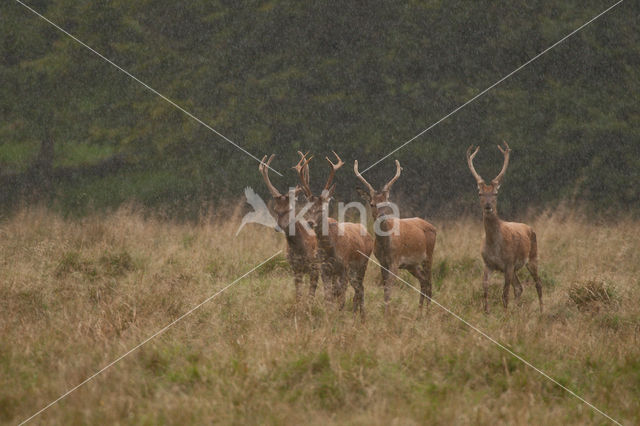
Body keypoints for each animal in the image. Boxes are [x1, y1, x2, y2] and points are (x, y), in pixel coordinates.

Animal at [260, 153, 320, 300]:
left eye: (290, 209)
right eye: (276, 209)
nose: (277, 228)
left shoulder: (314, 266)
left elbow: (311, 295)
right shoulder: (295, 268)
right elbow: (298, 296)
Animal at [296, 151, 376, 318]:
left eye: (321, 209)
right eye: (307, 208)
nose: (310, 222)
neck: (331, 248)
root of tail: (368, 233)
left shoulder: (344, 265)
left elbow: (341, 295)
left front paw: (339, 315)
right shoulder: (324, 268)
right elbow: (329, 295)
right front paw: (329, 316)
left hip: (362, 264)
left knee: (360, 288)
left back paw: (361, 317)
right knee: (355, 289)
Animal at [352, 161, 438, 312]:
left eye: (386, 202)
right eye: (372, 203)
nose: (382, 216)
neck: (385, 246)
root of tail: (433, 227)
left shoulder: (395, 260)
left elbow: (388, 290)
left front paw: (388, 314)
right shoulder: (382, 262)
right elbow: (385, 289)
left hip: (429, 254)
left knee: (429, 282)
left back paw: (427, 312)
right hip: (412, 264)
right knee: (423, 281)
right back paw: (419, 312)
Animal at [468, 141, 544, 312]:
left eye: (495, 193)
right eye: (480, 193)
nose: (488, 206)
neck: (495, 245)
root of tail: (530, 228)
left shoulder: (509, 263)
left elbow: (504, 293)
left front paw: (504, 312)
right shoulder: (488, 263)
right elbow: (485, 290)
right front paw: (487, 312)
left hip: (533, 257)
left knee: (538, 283)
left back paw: (542, 310)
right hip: (516, 267)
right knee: (519, 287)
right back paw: (517, 309)